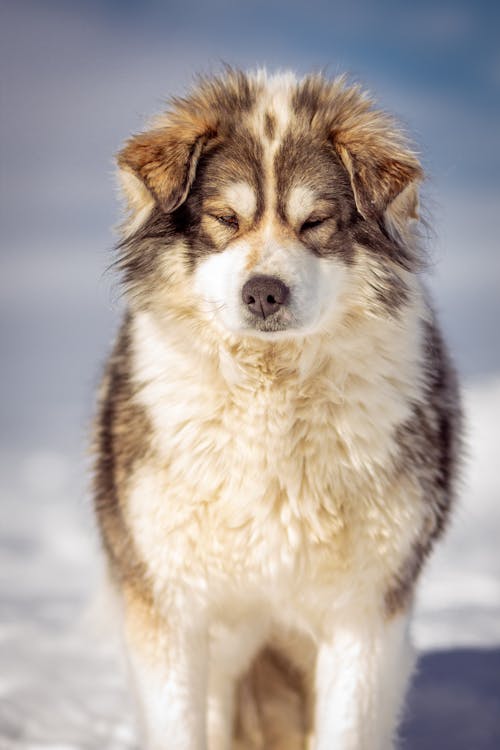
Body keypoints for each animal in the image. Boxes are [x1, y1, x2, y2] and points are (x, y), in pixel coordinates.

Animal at [93, 67, 460, 748]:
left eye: (315, 223)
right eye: (225, 218)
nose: (264, 292)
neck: (272, 391)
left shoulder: (365, 614)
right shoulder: (169, 604)